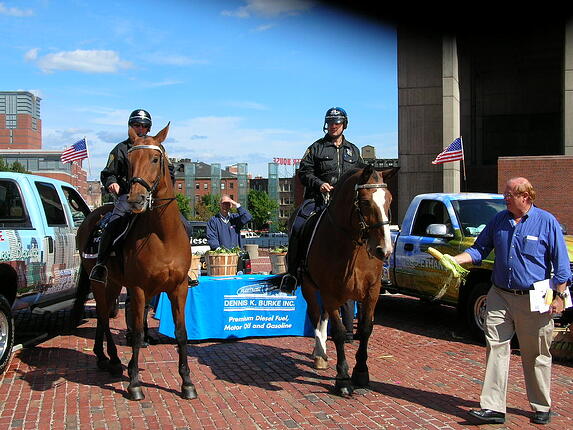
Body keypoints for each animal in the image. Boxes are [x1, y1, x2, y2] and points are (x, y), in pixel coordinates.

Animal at [76, 125, 197, 404]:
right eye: (129, 162)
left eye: (155, 159)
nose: (135, 199)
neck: (162, 235)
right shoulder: (139, 289)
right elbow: (138, 333)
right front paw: (134, 383)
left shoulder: (179, 288)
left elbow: (181, 333)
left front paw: (186, 382)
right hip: (100, 283)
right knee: (102, 316)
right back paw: (112, 359)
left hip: (113, 284)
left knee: (103, 317)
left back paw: (102, 356)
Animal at [298, 165, 396, 396]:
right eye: (366, 202)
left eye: (389, 199)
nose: (385, 250)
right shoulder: (330, 293)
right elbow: (340, 333)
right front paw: (342, 378)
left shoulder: (372, 292)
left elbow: (365, 330)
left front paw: (361, 373)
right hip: (309, 288)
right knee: (315, 316)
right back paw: (319, 353)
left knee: (322, 317)